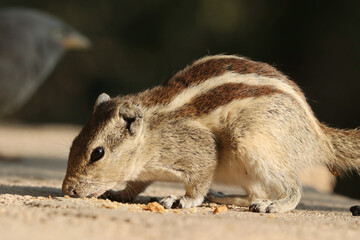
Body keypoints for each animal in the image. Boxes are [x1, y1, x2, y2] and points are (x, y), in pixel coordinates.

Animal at [62, 54, 360, 212]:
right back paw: (224, 197)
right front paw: (120, 193)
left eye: (97, 153)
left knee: (293, 188)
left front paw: (182, 199)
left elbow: (199, 178)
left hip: (253, 142)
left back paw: (274, 205)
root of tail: (319, 138)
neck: (152, 132)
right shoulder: (145, 170)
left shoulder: (199, 149)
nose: (68, 189)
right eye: (73, 142)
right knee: (254, 193)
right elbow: (136, 184)